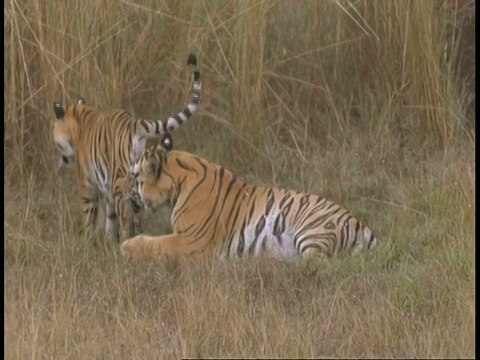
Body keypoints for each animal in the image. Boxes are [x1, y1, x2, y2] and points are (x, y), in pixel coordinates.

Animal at [53, 52, 202, 242]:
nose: (63, 160)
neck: (80, 115)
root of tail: (134, 124)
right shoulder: (107, 188)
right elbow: (110, 216)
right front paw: (109, 240)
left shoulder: (87, 184)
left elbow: (89, 215)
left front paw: (88, 240)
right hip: (137, 180)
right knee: (137, 216)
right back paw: (135, 238)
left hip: (120, 183)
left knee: (125, 216)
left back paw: (125, 240)